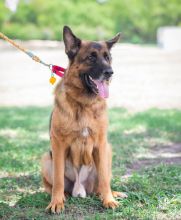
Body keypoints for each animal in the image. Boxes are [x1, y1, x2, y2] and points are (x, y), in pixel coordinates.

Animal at [41, 25, 126, 213]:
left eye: (108, 58)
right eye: (91, 57)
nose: (110, 73)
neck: (84, 104)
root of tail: (80, 189)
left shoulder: (101, 144)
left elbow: (104, 178)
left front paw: (108, 200)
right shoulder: (58, 144)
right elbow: (58, 179)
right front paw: (56, 202)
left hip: (108, 151)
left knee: (101, 184)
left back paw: (111, 194)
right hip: (46, 158)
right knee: (54, 185)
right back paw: (63, 196)